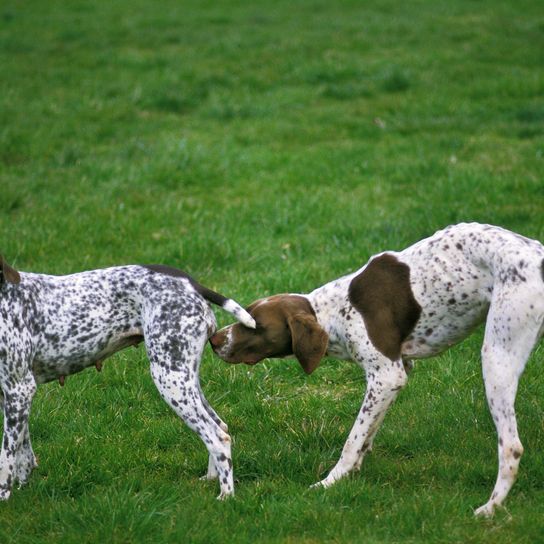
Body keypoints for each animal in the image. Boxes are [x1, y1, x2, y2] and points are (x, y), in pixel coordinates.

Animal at [0, 260, 256, 502]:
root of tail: (190, 283)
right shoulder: (13, 396)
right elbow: (23, 453)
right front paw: (23, 487)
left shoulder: (19, 390)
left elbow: (6, 458)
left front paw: (4, 496)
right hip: (184, 380)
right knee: (220, 426)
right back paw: (211, 478)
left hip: (170, 380)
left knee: (218, 437)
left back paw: (226, 495)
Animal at [210, 223, 544, 516]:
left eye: (254, 325)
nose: (214, 340)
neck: (335, 311)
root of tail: (537, 256)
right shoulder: (398, 372)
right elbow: (367, 432)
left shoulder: (386, 376)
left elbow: (352, 439)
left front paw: (331, 481)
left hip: (497, 357)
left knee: (511, 447)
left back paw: (490, 508)